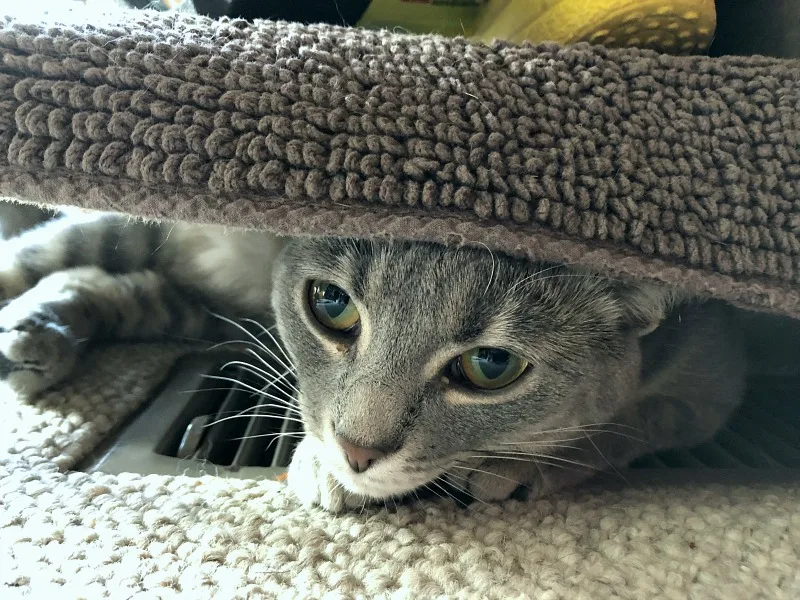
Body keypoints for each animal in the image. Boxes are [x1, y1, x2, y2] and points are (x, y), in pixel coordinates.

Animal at [1, 200, 752, 510]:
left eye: (492, 368)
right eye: (331, 304)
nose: (359, 452)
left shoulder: (708, 390)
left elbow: (619, 430)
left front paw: (518, 465)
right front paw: (321, 464)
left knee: (121, 287)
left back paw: (38, 339)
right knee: (49, 250)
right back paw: (27, 330)